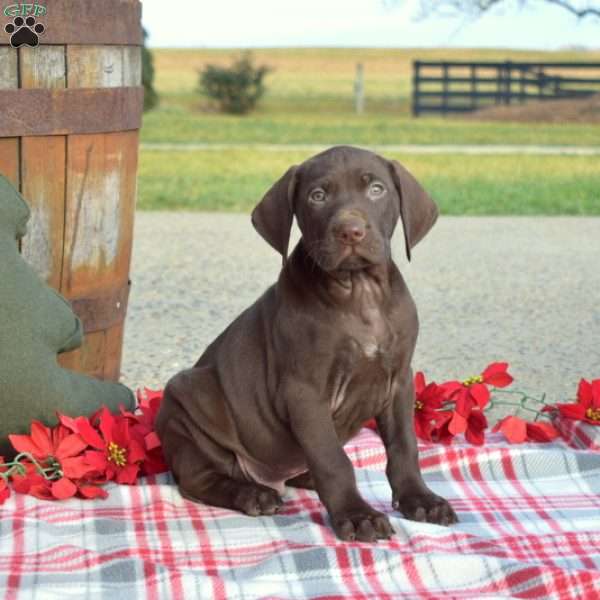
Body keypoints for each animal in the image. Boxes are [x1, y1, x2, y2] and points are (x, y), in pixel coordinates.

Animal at [157, 146, 458, 544]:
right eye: (318, 196)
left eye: (376, 189)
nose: (350, 231)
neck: (359, 291)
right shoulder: (305, 392)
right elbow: (333, 459)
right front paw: (356, 514)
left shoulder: (399, 381)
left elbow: (404, 447)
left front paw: (420, 499)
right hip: (187, 404)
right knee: (198, 479)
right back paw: (253, 494)